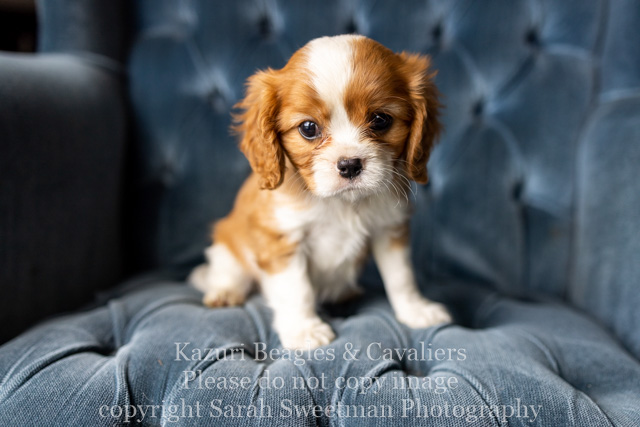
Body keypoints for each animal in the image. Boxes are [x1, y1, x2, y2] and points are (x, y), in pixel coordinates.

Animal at [190, 35, 450, 350]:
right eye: (308, 128)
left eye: (380, 120)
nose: (349, 165)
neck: (343, 203)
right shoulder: (283, 240)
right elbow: (296, 289)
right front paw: (305, 330)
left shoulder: (389, 228)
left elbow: (401, 276)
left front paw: (415, 310)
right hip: (229, 245)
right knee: (228, 271)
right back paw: (225, 291)